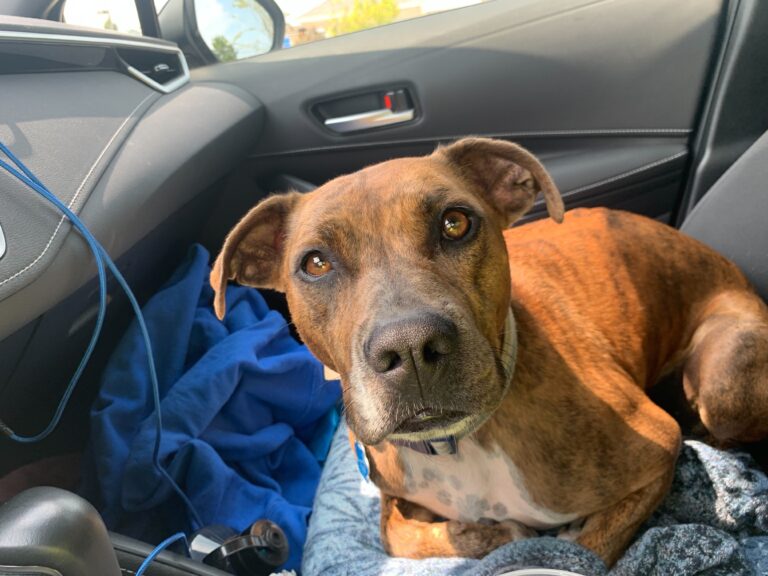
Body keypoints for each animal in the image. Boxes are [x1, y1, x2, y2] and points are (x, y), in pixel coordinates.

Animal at [208, 138, 768, 568]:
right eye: (316, 263)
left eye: (456, 223)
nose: (409, 347)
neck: (461, 443)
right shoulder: (391, 494)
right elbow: (400, 533)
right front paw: (496, 534)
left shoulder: (655, 449)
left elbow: (587, 547)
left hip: (725, 385)